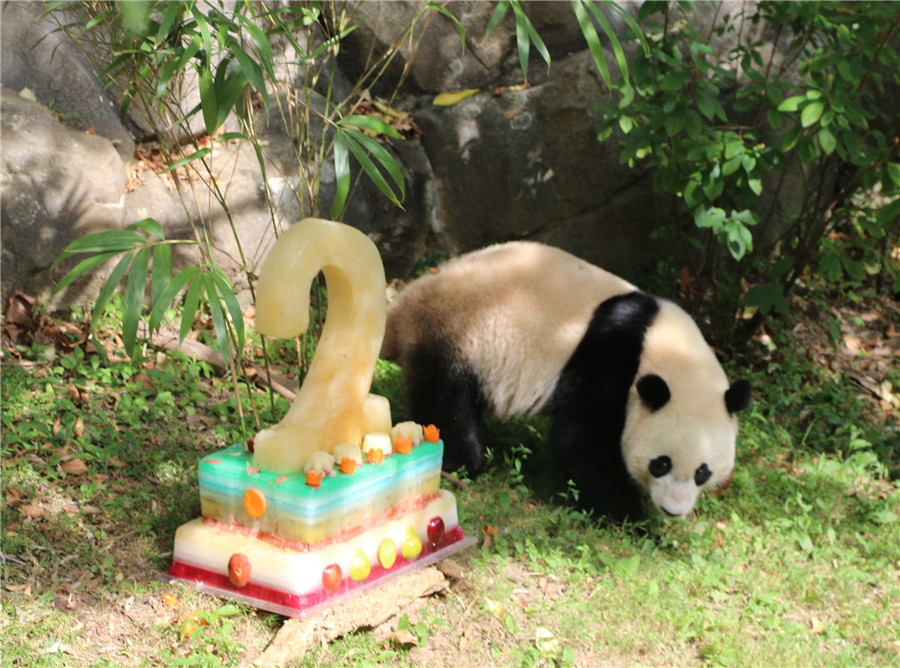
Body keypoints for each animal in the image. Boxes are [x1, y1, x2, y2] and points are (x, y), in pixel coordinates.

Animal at [382, 241, 752, 520]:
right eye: (661, 463)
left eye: (703, 472)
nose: (674, 510)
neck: (665, 348)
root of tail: (402, 305)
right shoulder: (610, 356)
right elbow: (583, 439)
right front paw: (630, 517)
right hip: (455, 334)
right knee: (447, 403)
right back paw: (466, 462)